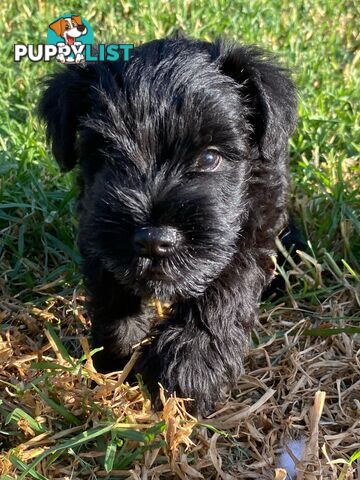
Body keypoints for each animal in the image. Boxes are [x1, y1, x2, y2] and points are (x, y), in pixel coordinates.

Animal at [40, 37, 298, 414]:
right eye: (107, 156)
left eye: (209, 157)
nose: (154, 240)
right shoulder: (95, 229)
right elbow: (111, 296)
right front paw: (115, 358)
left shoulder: (255, 223)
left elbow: (228, 285)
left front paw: (190, 367)